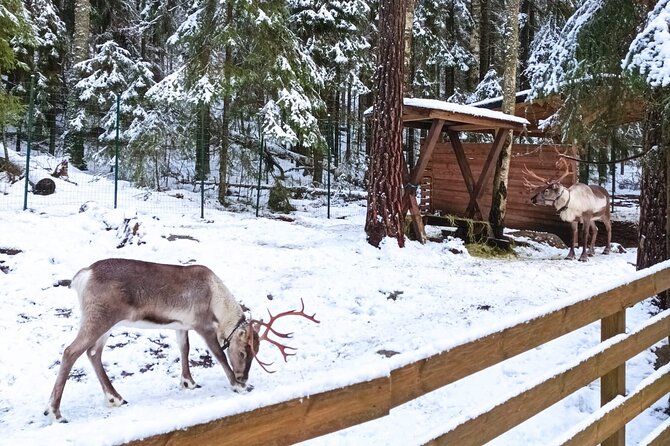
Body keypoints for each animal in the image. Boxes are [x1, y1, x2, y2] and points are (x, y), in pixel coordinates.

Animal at [45, 258, 319, 423]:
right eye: (243, 351)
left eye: (256, 351)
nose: (244, 377)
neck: (216, 300)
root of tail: (82, 276)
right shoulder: (202, 325)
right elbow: (218, 354)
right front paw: (237, 386)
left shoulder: (181, 326)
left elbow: (184, 349)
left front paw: (189, 382)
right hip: (100, 319)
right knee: (71, 351)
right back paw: (55, 412)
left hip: (106, 324)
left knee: (93, 353)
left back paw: (115, 398)